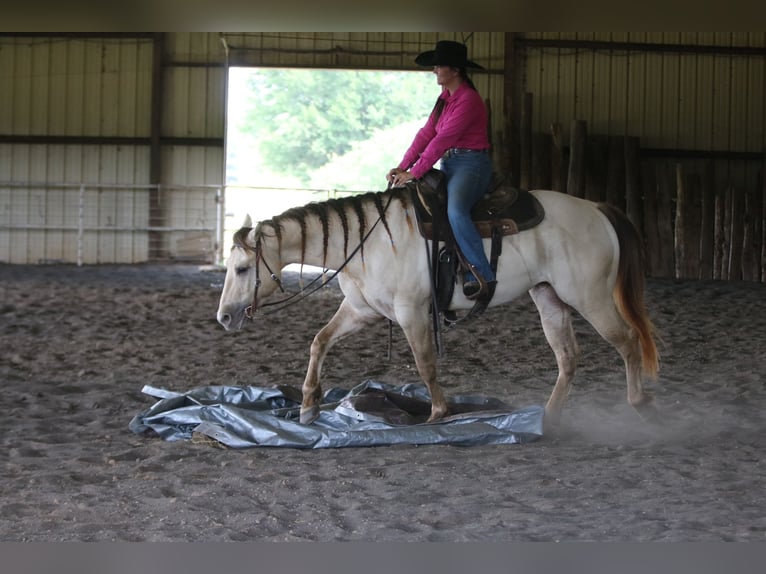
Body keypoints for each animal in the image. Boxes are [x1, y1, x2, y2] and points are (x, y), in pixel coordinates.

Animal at [216, 184, 659, 428]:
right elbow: (319, 341)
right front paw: (308, 406)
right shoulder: (361, 310)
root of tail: (597, 209)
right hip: (548, 296)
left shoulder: (411, 311)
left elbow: (425, 362)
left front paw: (437, 412)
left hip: (591, 297)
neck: (365, 242)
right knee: (568, 356)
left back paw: (639, 405)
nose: (223, 317)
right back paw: (548, 418)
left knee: (628, 341)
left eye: (241, 269)